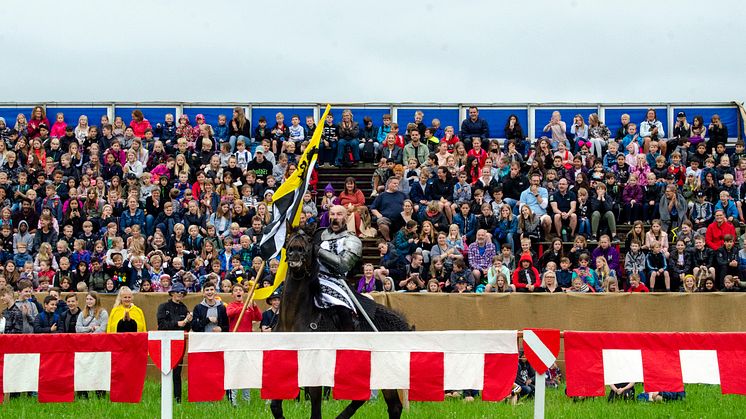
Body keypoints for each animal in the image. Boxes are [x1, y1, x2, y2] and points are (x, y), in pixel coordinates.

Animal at [268, 230, 410, 419]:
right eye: (289, 239)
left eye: (309, 240)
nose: (296, 251)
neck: (293, 318)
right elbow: (275, 405)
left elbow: (315, 407)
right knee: (385, 403)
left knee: (391, 405)